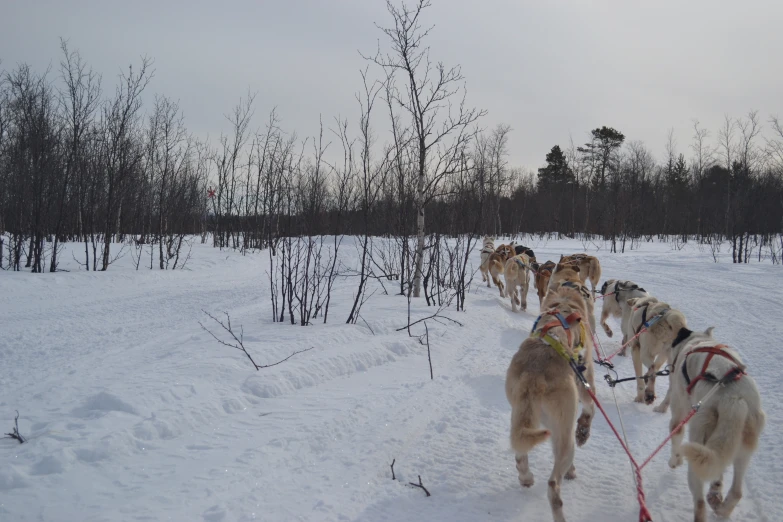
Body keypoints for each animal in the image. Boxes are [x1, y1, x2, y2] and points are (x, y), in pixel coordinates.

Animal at [506, 282, 596, 520]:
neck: (565, 302)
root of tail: (534, 373)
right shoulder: (586, 380)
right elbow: (590, 410)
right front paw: (583, 432)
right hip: (564, 437)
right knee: (553, 486)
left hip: (522, 417)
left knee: (519, 453)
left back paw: (526, 478)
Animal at [668, 324, 764, 520]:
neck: (698, 341)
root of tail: (734, 399)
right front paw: (717, 486)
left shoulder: (679, 413)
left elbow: (675, 436)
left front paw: (674, 461)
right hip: (742, 447)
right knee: (736, 491)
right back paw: (720, 505)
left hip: (698, 442)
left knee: (699, 503)